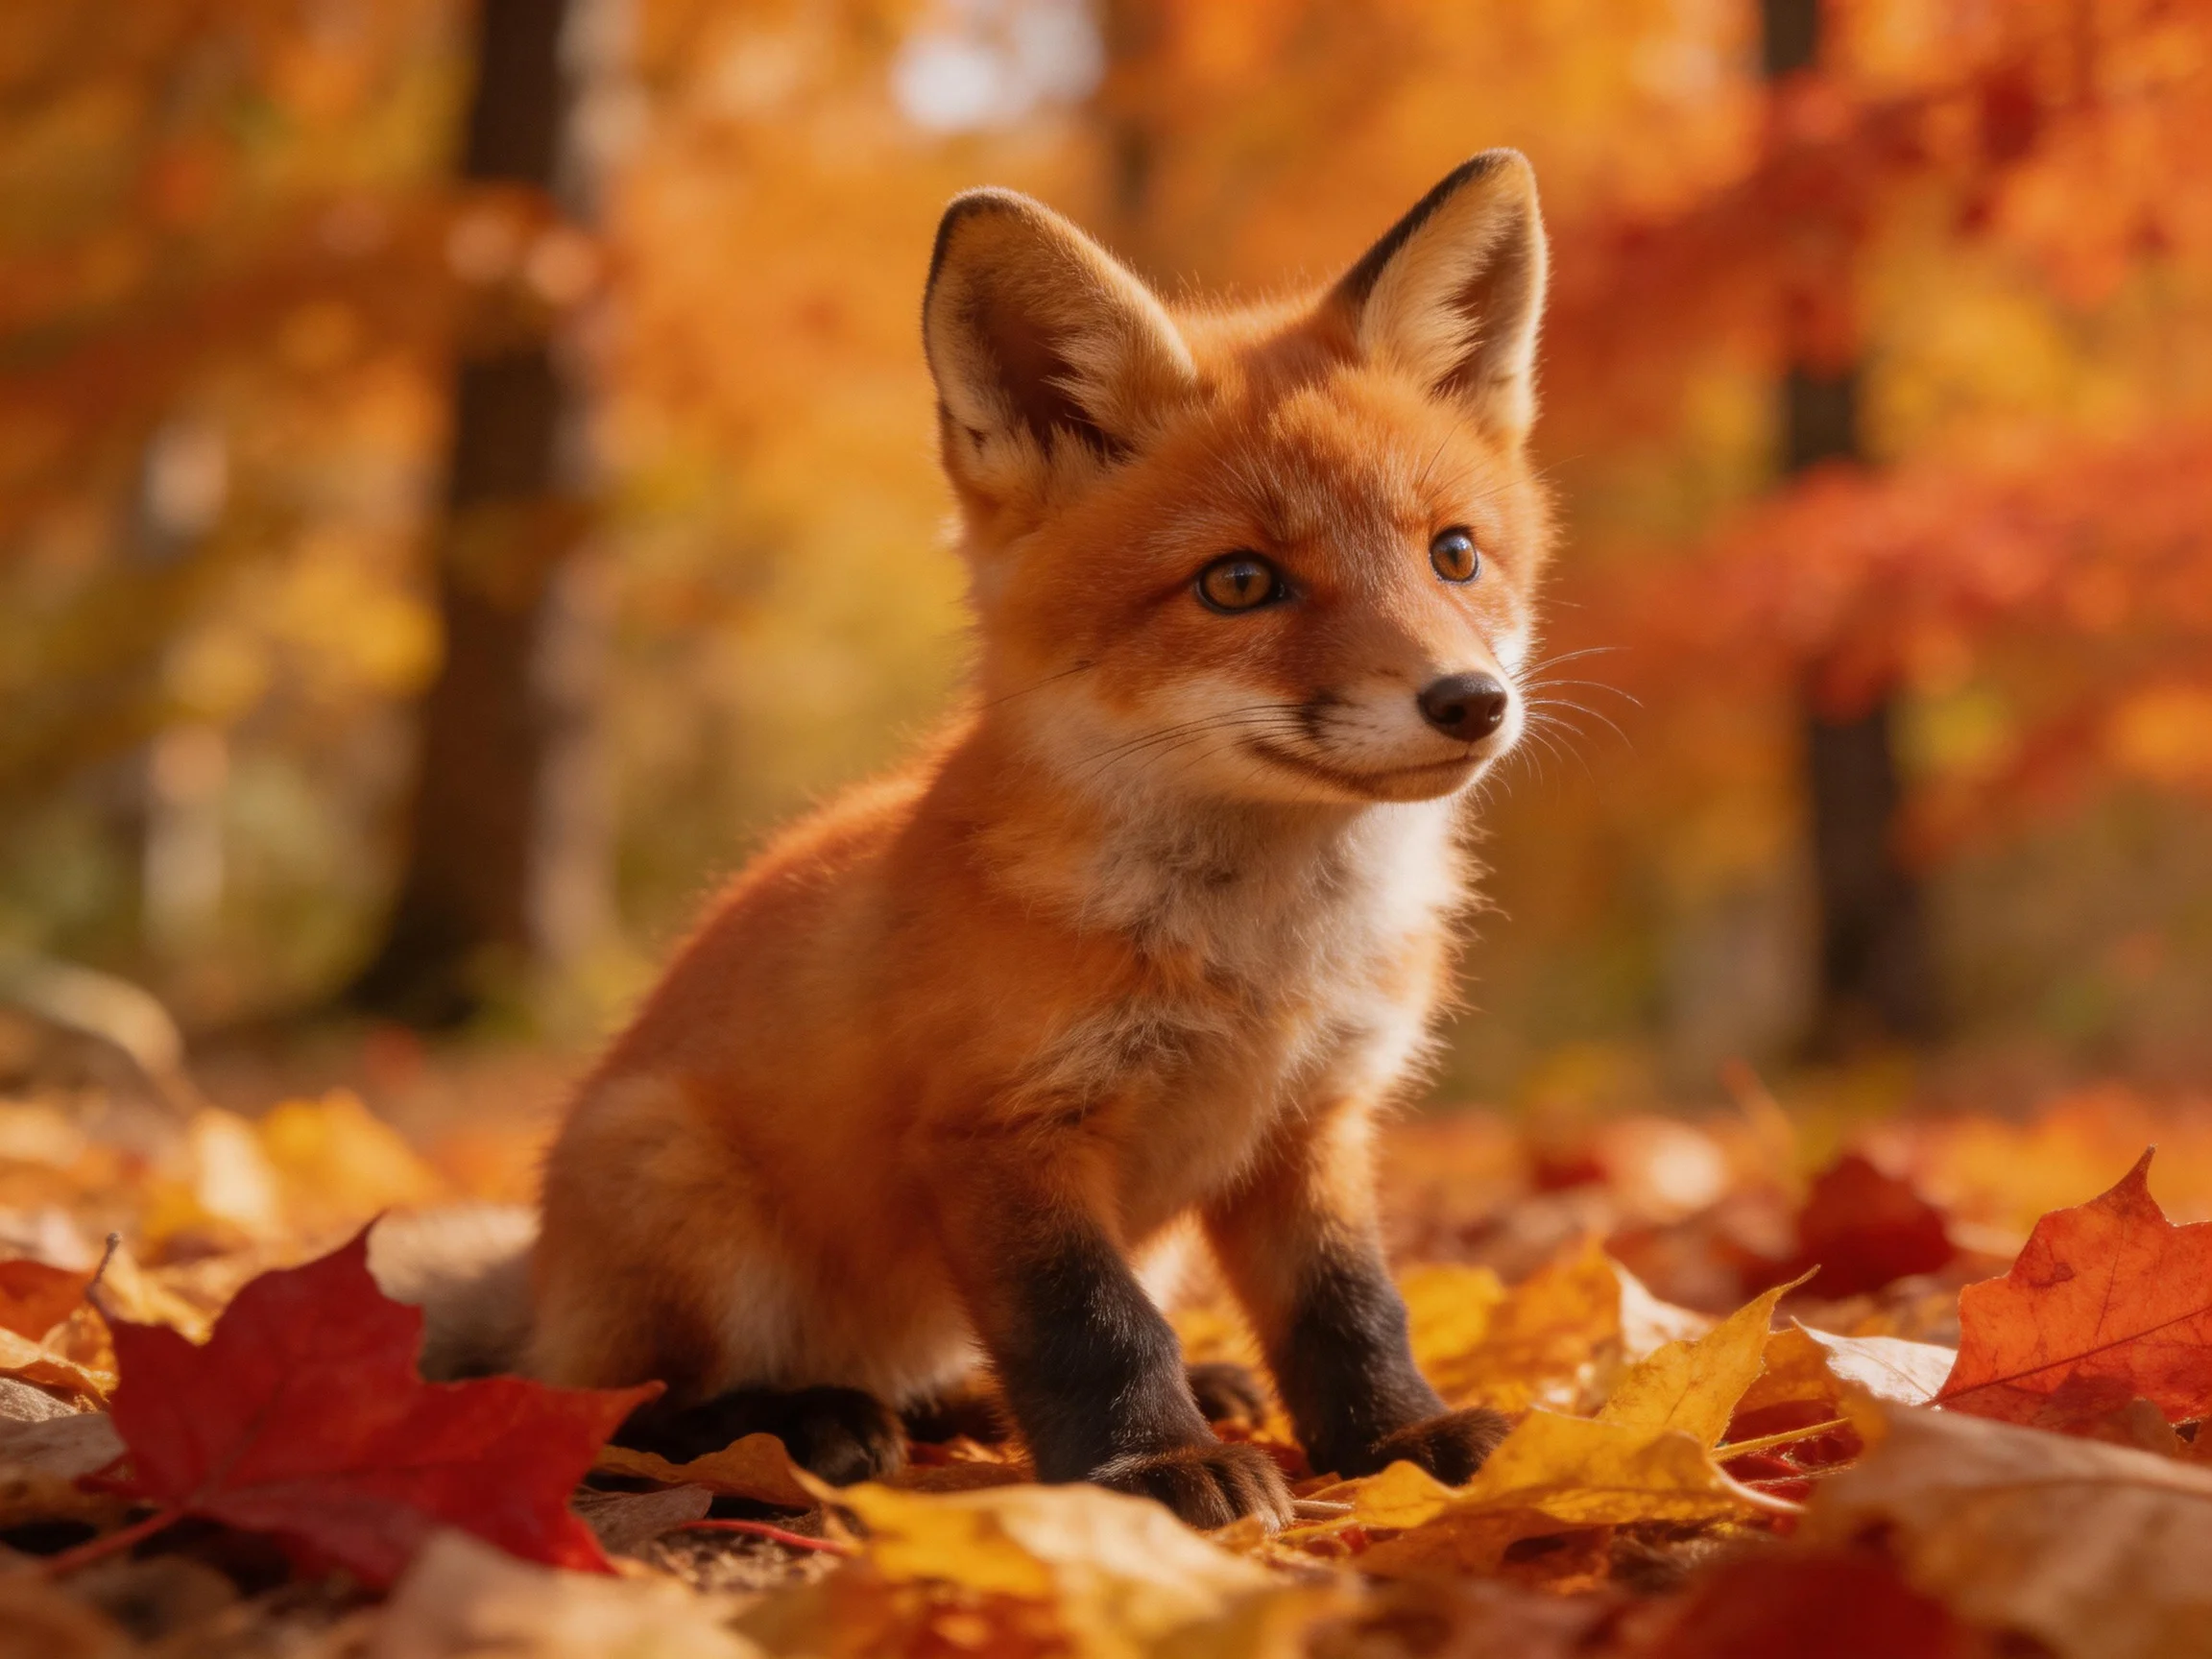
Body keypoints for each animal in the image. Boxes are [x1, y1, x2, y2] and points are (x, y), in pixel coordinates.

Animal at [376, 150, 1555, 1530]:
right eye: (1240, 584)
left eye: (1455, 554)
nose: (1470, 702)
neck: (1260, 960)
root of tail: (541, 1278)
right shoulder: (1001, 1132)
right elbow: (1091, 1330)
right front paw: (1150, 1473)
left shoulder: (1311, 1123)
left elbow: (1350, 1310)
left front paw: (1401, 1444)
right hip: (675, 1185)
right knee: (618, 1410)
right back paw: (802, 1424)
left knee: (938, 1376)